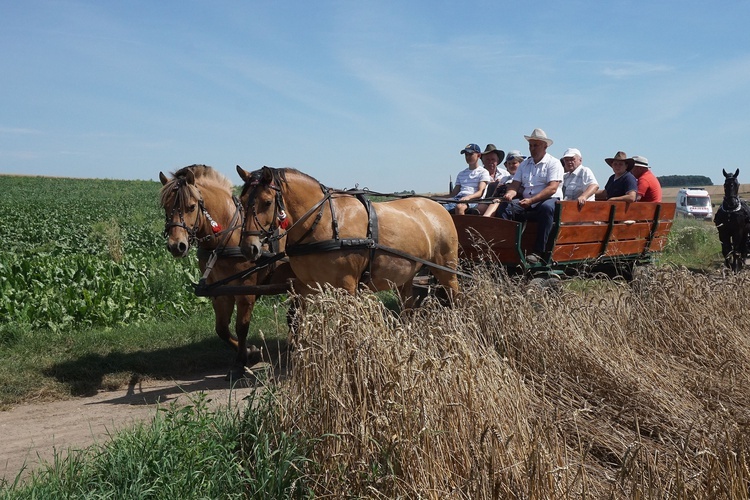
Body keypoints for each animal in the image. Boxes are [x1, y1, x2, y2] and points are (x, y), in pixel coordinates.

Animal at [160, 165, 292, 378]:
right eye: (165, 207)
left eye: (191, 207)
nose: (176, 246)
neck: (228, 238)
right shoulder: (220, 291)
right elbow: (221, 328)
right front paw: (250, 352)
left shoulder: (245, 291)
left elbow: (241, 327)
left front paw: (240, 361)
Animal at [235, 166, 462, 306]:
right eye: (242, 200)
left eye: (267, 202)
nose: (249, 248)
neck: (323, 221)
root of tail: (438, 206)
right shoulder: (306, 285)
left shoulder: (347, 286)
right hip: (406, 274)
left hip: (446, 269)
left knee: (455, 297)